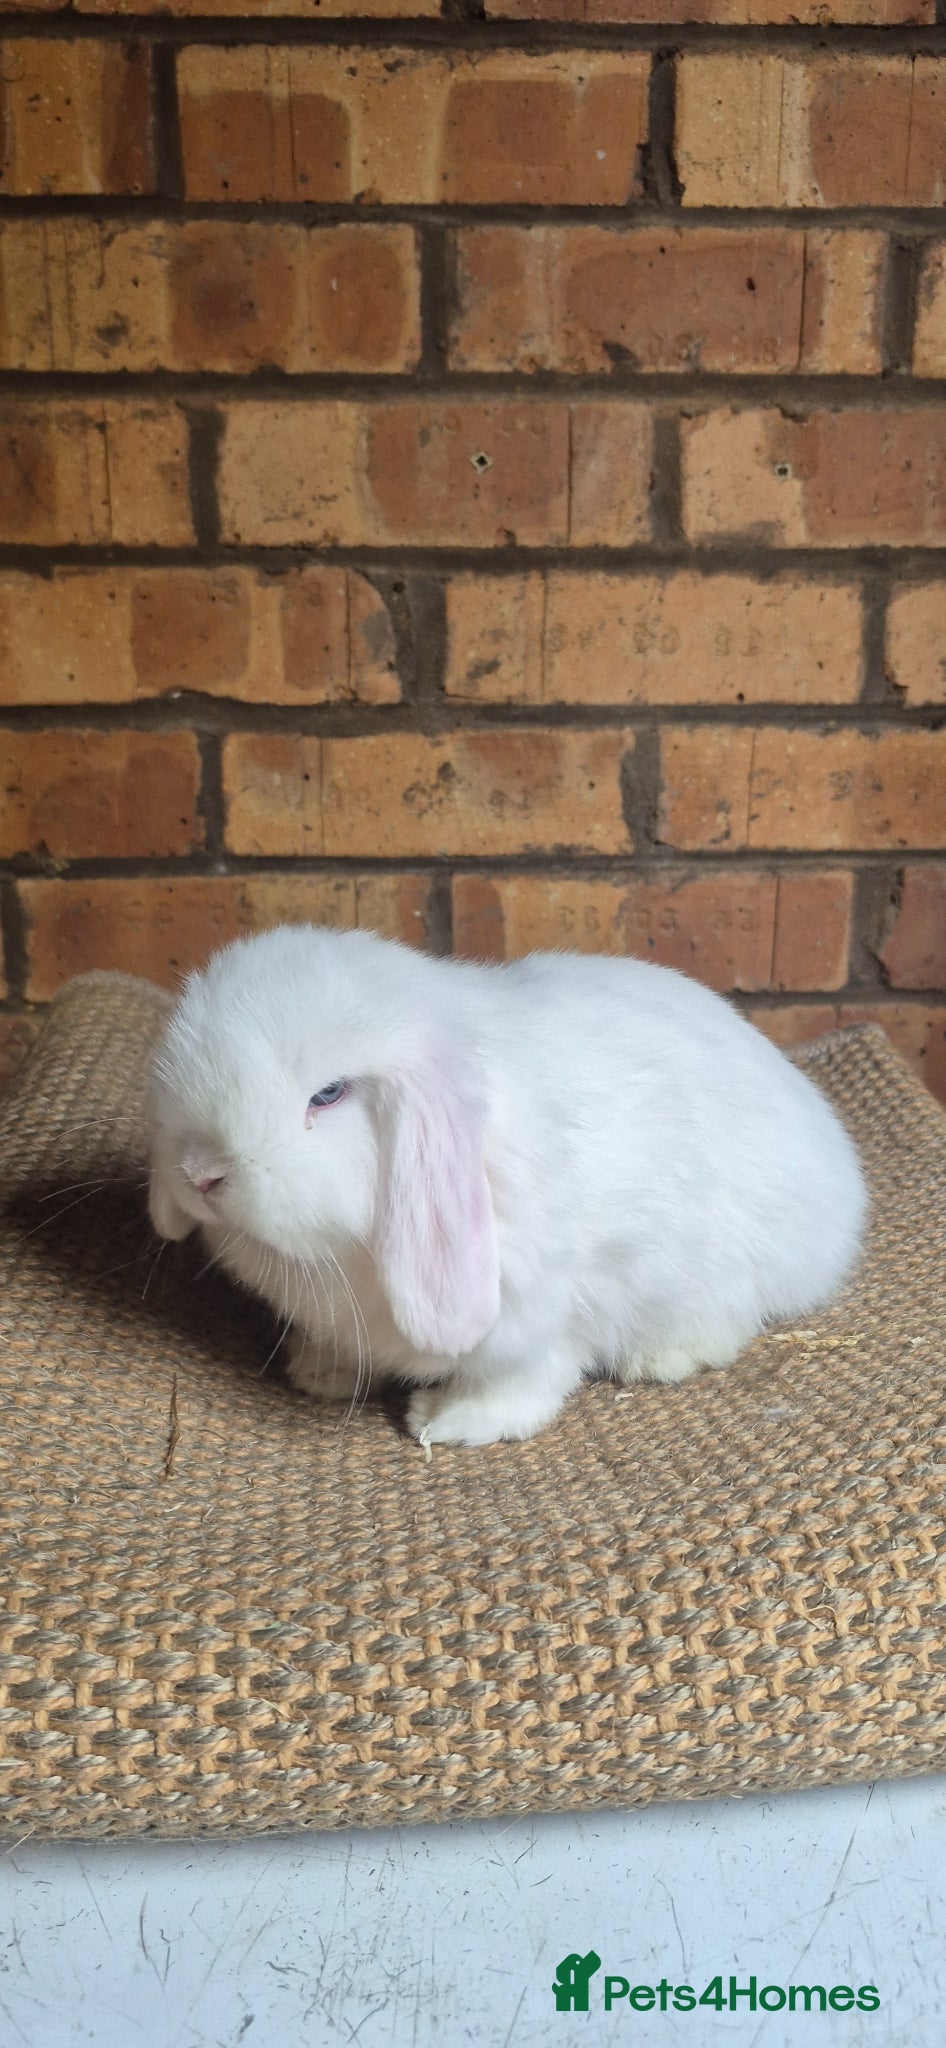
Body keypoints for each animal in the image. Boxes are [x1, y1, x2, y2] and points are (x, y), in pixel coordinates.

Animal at [147, 923, 867, 1448]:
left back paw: (663, 1358)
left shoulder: (534, 1318)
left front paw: (446, 1423)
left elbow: (521, 1381)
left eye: (328, 1094)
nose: (200, 1173)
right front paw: (318, 1371)